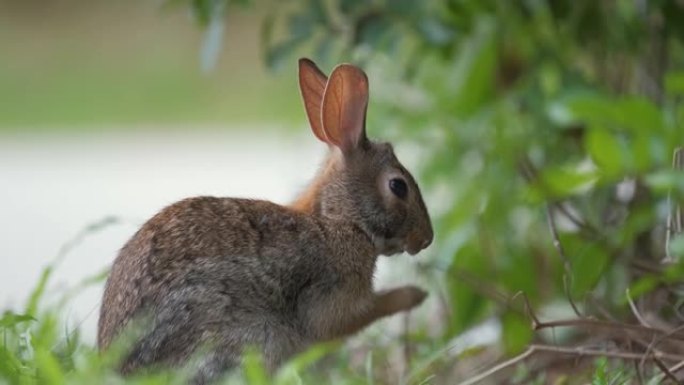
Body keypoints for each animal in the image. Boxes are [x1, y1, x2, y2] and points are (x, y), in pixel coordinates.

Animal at [97, 58, 432, 382]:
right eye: (398, 186)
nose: (426, 239)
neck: (338, 220)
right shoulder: (331, 297)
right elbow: (357, 315)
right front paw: (414, 295)